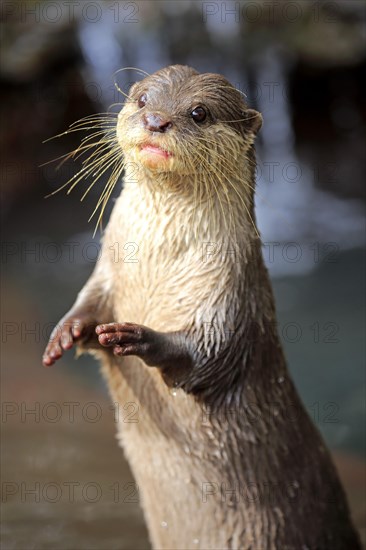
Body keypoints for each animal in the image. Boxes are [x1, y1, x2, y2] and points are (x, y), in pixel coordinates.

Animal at [43, 66, 360, 550]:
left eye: (199, 112)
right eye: (142, 99)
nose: (156, 120)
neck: (156, 263)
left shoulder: (231, 290)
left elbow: (211, 353)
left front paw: (138, 336)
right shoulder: (108, 268)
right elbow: (89, 301)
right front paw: (67, 332)